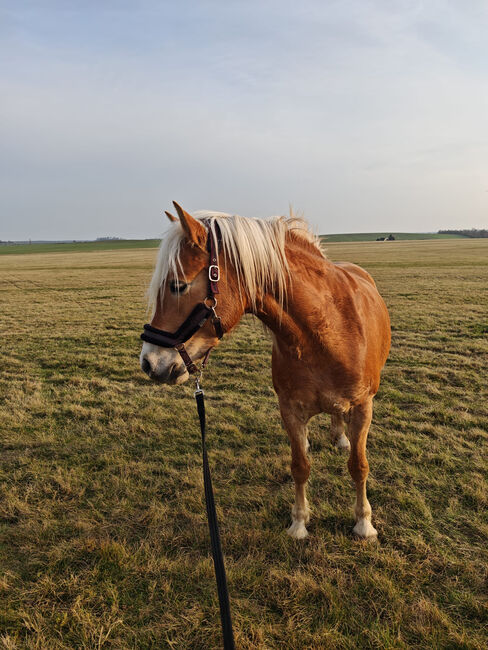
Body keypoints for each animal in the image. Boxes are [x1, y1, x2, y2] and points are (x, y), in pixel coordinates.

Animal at [140, 202, 391, 540]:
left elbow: (359, 466)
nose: (150, 363)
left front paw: (364, 523)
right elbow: (299, 466)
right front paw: (299, 523)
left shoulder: (363, 407)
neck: (327, 329)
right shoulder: (290, 409)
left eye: (178, 285)